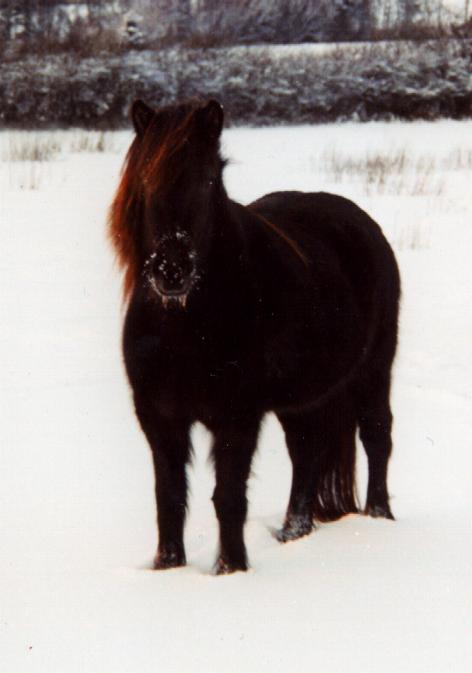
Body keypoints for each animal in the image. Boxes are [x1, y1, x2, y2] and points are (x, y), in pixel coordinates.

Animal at [109, 100, 400, 572]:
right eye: (147, 180)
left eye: (209, 180)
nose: (172, 270)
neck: (185, 325)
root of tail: (364, 225)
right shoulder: (160, 417)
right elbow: (169, 498)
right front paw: (169, 569)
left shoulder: (237, 416)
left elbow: (228, 497)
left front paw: (232, 570)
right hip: (302, 399)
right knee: (306, 452)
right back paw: (293, 532)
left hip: (374, 370)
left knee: (376, 437)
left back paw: (379, 517)